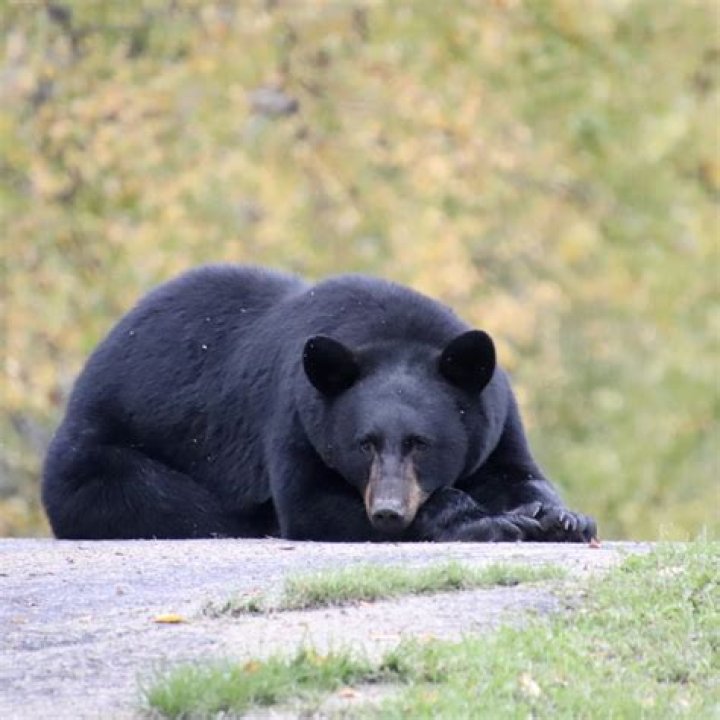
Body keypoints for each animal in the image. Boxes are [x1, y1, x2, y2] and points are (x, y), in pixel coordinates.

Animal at [42, 265, 597, 543]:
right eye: (364, 444)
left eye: (421, 443)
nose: (389, 512)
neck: (392, 331)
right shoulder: (295, 415)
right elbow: (312, 505)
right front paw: (487, 522)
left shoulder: (496, 415)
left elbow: (515, 470)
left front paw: (561, 517)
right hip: (98, 460)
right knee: (164, 500)